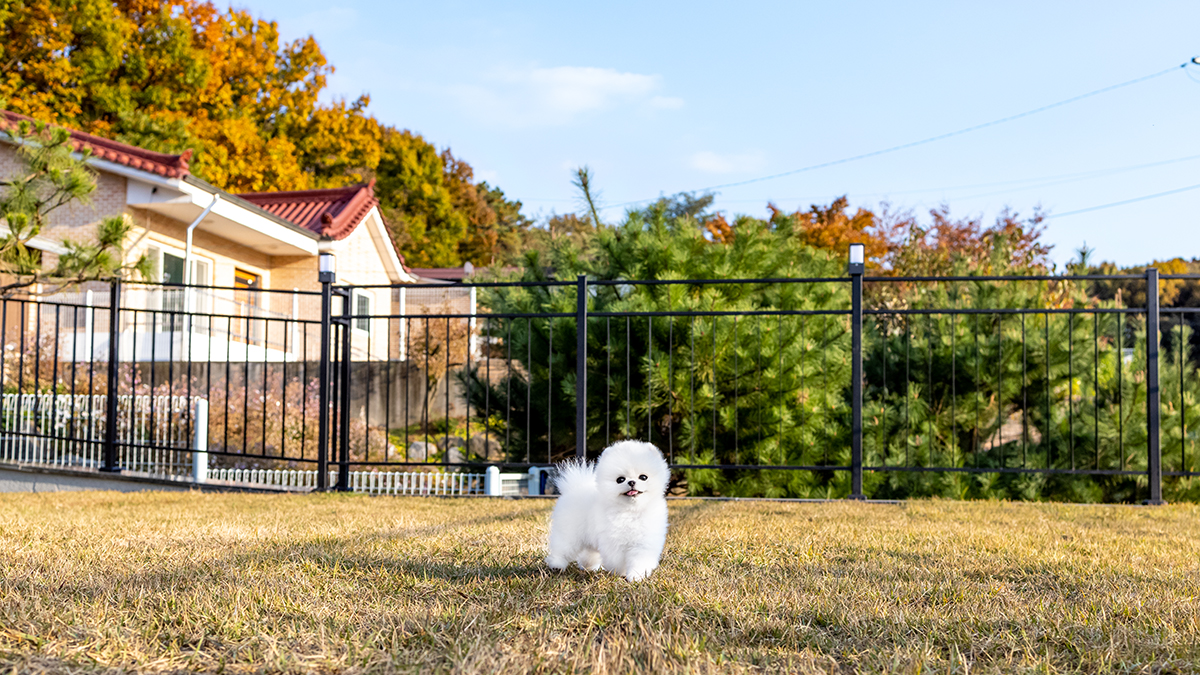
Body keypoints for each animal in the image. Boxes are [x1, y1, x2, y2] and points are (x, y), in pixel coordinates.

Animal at [547, 441, 672, 578]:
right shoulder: (614, 541)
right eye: (620, 479)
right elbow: (618, 560)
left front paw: (636, 575)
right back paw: (557, 565)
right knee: (562, 548)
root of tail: (574, 487)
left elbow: (640, 559)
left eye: (643, 477)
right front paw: (621, 572)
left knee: (588, 552)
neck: (630, 511)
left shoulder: (644, 540)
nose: (631, 482)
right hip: (569, 533)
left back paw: (588, 566)